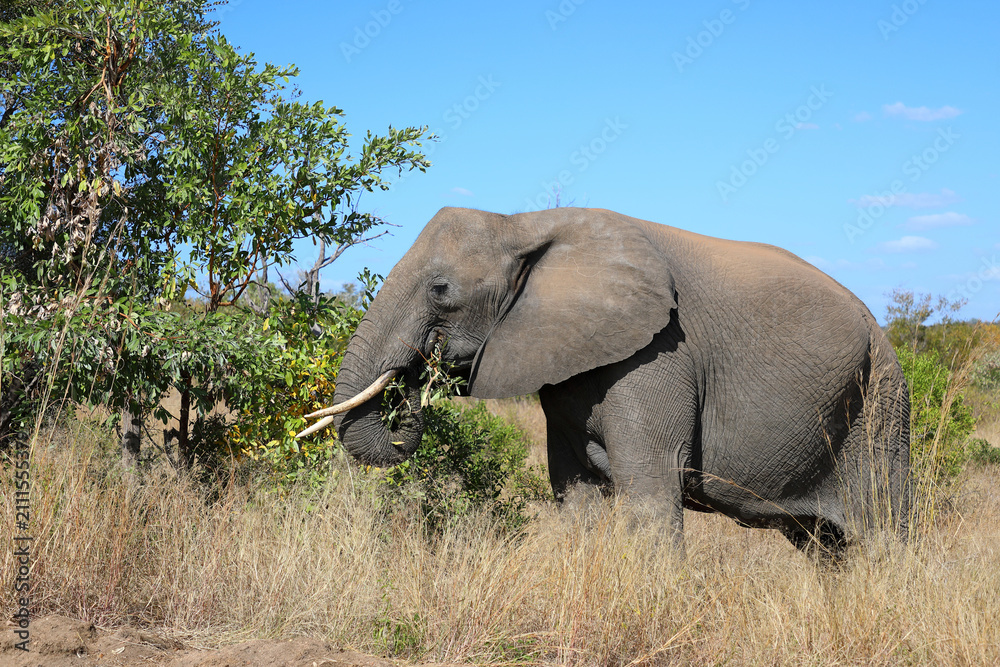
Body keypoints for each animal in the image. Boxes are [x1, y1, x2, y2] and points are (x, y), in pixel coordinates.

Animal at [301, 207, 911, 552]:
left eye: (440, 289)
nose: (418, 376)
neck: (524, 225)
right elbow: (575, 496)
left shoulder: (659, 354)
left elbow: (649, 492)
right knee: (826, 549)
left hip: (881, 404)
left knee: (883, 538)